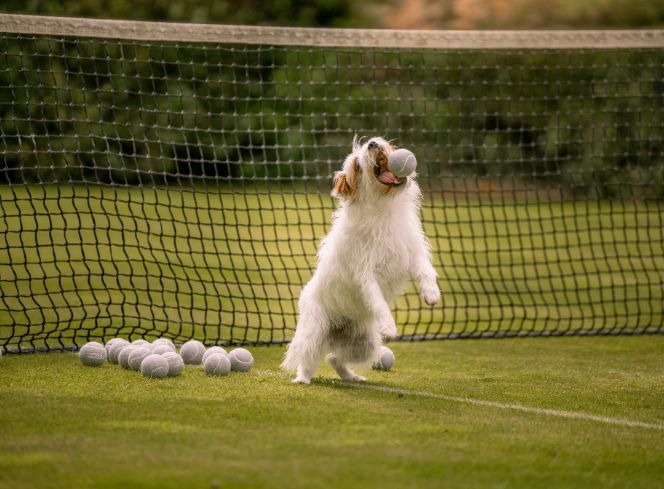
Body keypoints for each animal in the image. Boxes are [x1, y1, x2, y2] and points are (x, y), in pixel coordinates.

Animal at [282, 135, 440, 384]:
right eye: (357, 165)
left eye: (378, 141)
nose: (373, 143)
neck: (383, 210)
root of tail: (336, 331)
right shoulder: (364, 274)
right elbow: (377, 300)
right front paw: (388, 325)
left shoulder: (413, 251)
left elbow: (425, 270)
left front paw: (431, 294)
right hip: (315, 331)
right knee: (308, 359)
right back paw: (302, 379)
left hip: (364, 344)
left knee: (333, 359)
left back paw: (352, 377)